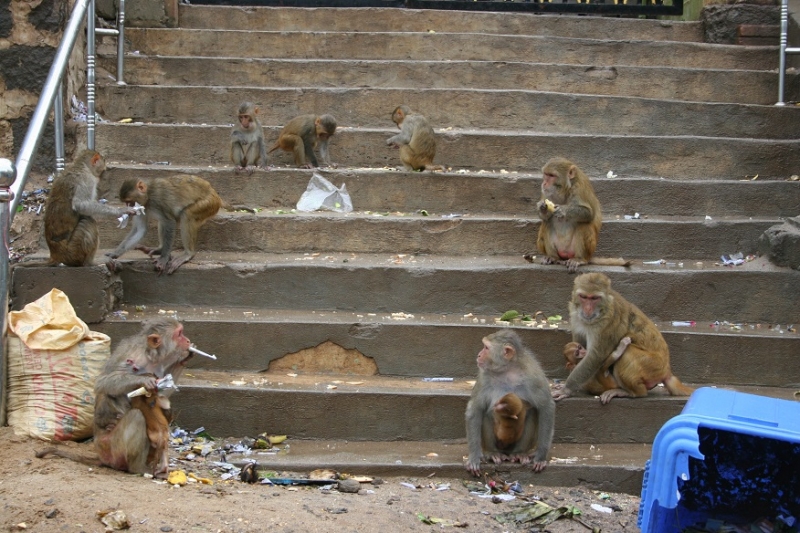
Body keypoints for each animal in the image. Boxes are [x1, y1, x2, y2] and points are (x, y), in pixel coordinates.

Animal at [462, 328, 556, 474]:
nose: (478, 355)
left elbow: (546, 407)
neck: (508, 370)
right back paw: (492, 453)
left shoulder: (534, 375)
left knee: (532, 413)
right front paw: (474, 457)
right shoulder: (484, 377)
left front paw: (540, 455)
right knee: (485, 414)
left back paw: (519, 453)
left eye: (486, 348)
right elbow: (475, 409)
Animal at [552, 274, 692, 404]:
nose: (587, 309)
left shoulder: (607, 324)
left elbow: (595, 356)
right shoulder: (576, 316)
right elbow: (579, 341)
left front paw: (566, 389)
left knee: (628, 353)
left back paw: (631, 392)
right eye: (584, 297)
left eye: (595, 298)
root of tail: (667, 371)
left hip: (653, 366)